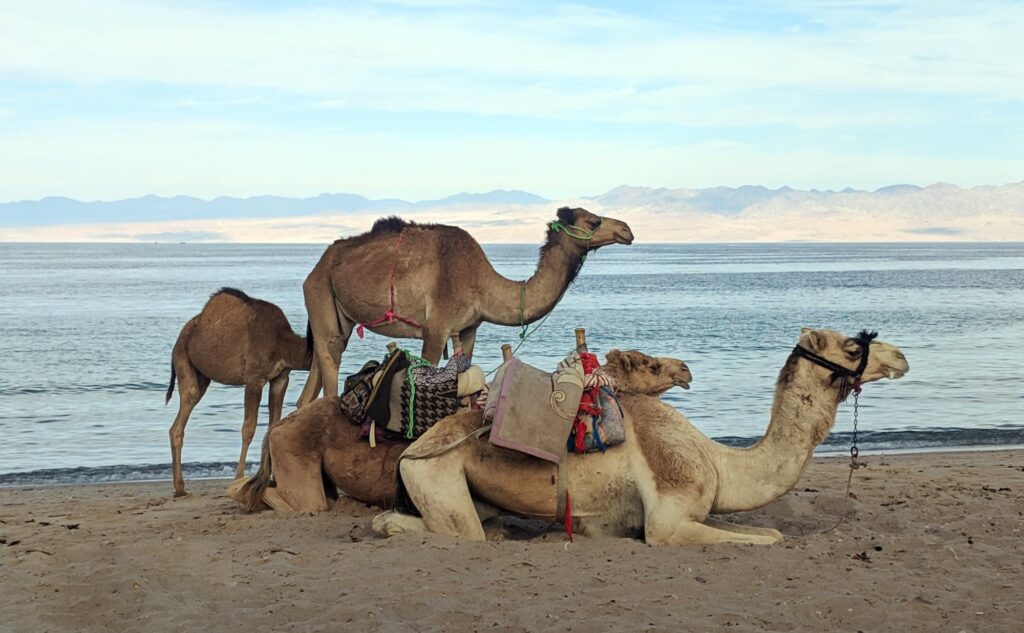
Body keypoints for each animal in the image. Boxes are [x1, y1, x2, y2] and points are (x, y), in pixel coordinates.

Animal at [165, 286, 311, 497]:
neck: (283, 343)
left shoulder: (281, 378)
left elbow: (273, 426)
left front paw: (274, 480)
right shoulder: (254, 379)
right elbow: (248, 429)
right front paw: (239, 479)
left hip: (202, 375)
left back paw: (180, 486)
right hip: (182, 358)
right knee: (182, 416)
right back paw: (179, 488)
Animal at [294, 206, 630, 403]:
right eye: (593, 221)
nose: (626, 230)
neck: (481, 284)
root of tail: (317, 267)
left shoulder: (468, 329)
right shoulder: (436, 328)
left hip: (337, 315)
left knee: (308, 391)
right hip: (320, 294)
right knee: (329, 371)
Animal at [374, 327, 913, 544]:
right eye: (852, 346)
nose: (902, 356)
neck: (717, 461)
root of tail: (410, 450)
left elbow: (771, 533)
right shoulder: (667, 521)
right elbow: (765, 539)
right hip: (434, 475)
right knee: (450, 529)